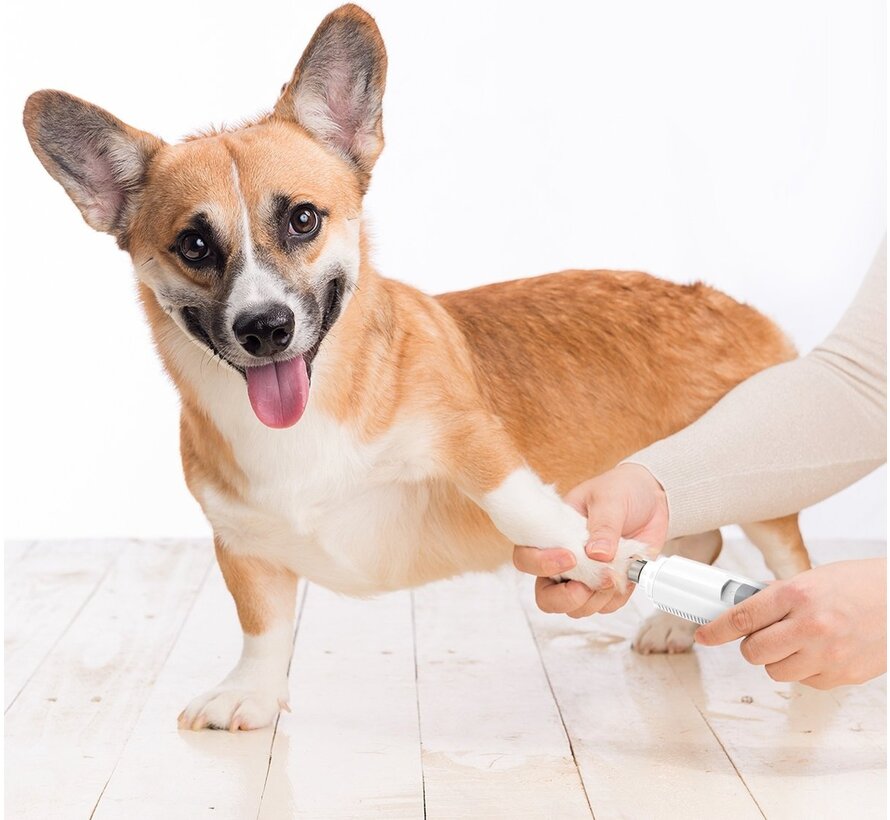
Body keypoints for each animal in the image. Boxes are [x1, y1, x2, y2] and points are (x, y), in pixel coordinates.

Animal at [24, 3, 808, 728]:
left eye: (303, 219)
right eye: (193, 245)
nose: (266, 328)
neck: (308, 421)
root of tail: (733, 305)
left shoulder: (474, 446)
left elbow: (527, 507)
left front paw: (596, 557)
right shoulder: (239, 541)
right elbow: (262, 624)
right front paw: (251, 693)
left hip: (767, 492)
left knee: (782, 559)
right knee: (703, 534)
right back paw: (676, 621)